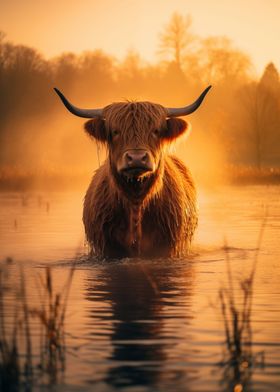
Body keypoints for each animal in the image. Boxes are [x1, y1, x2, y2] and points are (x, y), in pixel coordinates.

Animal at [54, 86, 210, 258]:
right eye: (115, 132)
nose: (137, 158)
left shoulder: (165, 248)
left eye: (156, 131)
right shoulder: (109, 249)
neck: (136, 202)